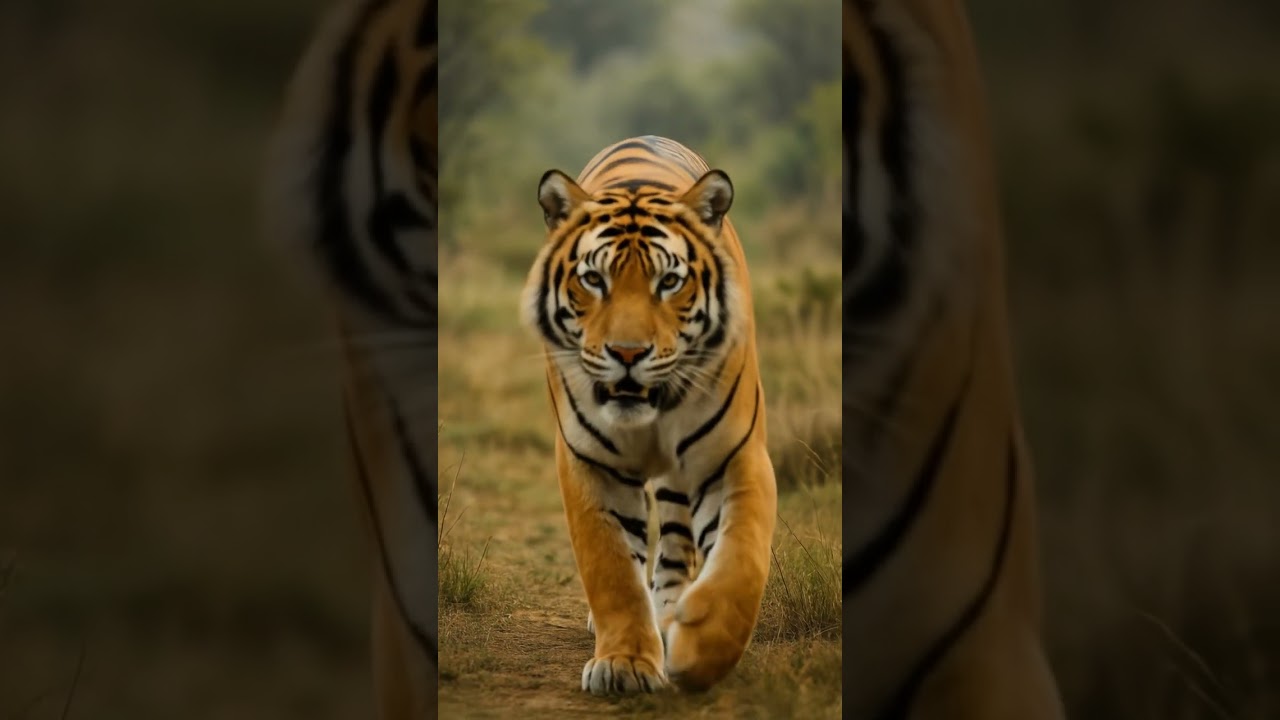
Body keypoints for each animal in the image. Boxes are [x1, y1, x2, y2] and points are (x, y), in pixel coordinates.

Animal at [520, 135, 777, 695]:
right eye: (593, 279)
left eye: (670, 281)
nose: (628, 353)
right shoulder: (590, 463)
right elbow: (611, 568)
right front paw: (625, 664)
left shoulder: (732, 455)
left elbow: (741, 558)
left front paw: (701, 651)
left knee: (678, 542)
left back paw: (669, 611)